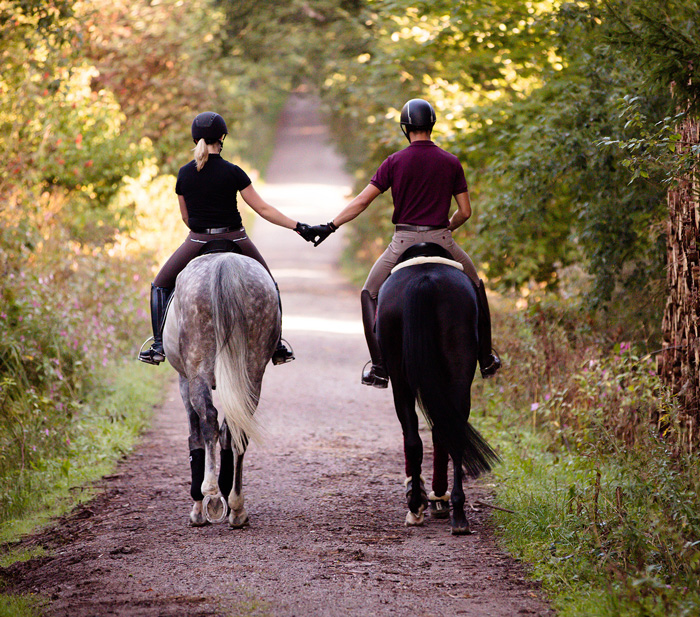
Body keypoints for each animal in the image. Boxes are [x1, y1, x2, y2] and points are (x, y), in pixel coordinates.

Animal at [163, 253, 280, 528]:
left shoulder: (184, 380)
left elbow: (194, 436)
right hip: (252, 372)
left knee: (208, 420)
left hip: (198, 371)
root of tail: (225, 263)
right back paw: (236, 507)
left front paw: (198, 507)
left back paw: (212, 494)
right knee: (237, 430)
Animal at [378, 243, 498, 532]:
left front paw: (424, 496)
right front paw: (434, 498)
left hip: (401, 378)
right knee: (448, 433)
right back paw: (456, 512)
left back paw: (419, 506)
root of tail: (425, 280)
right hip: (457, 372)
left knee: (415, 436)